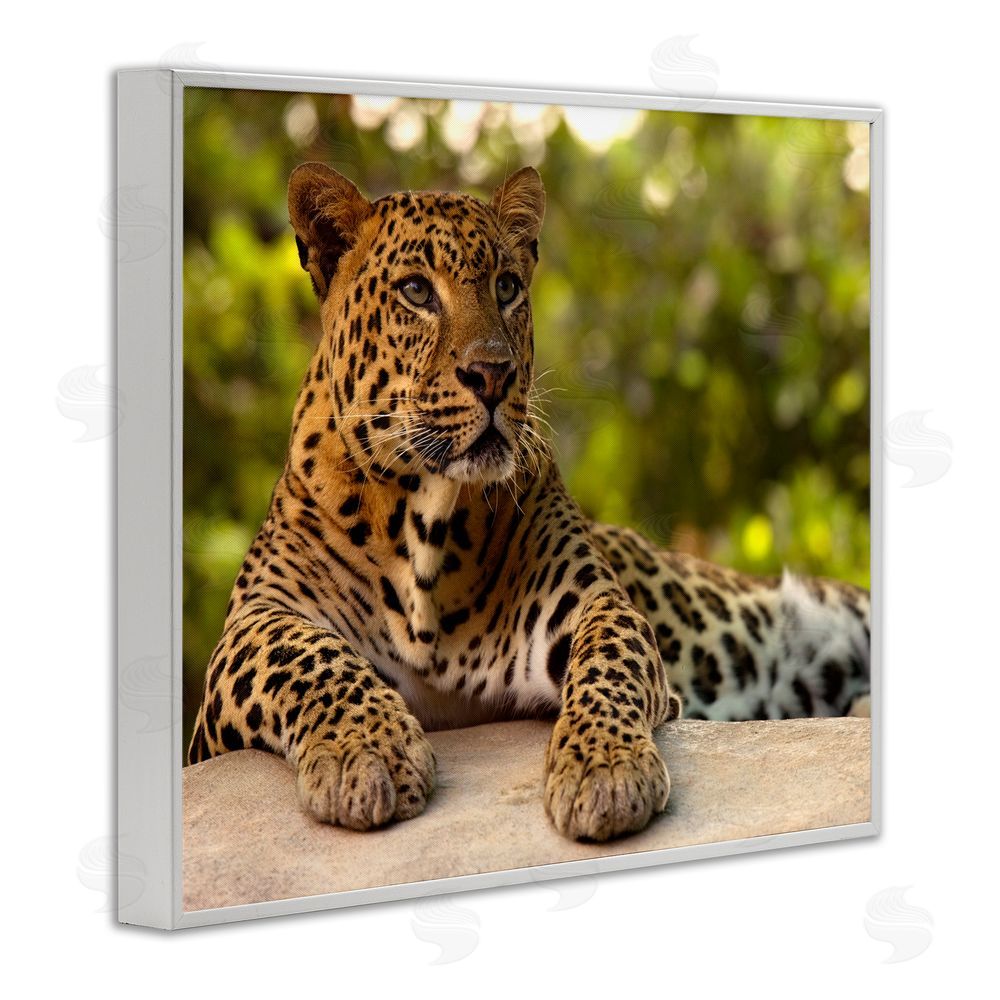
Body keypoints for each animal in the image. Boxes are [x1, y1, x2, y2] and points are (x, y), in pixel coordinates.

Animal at [187, 162, 871, 842]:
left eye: (508, 286)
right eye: (416, 291)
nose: (493, 374)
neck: (424, 521)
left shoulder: (590, 602)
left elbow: (608, 661)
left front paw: (605, 769)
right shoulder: (249, 629)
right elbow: (305, 656)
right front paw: (368, 752)